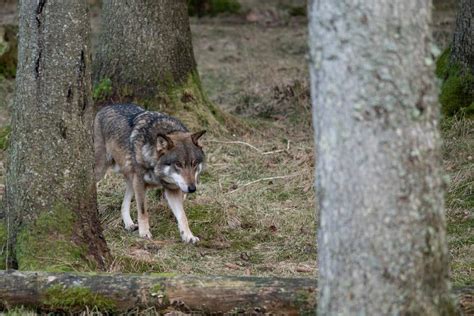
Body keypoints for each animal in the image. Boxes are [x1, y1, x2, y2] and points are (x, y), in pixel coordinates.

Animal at [94, 103, 206, 242]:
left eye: (194, 163)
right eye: (178, 164)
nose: (192, 189)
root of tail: (106, 107)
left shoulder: (172, 190)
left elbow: (182, 216)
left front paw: (188, 236)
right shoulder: (140, 182)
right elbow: (143, 211)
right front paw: (144, 233)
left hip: (131, 180)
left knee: (123, 204)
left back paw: (129, 224)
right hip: (102, 170)